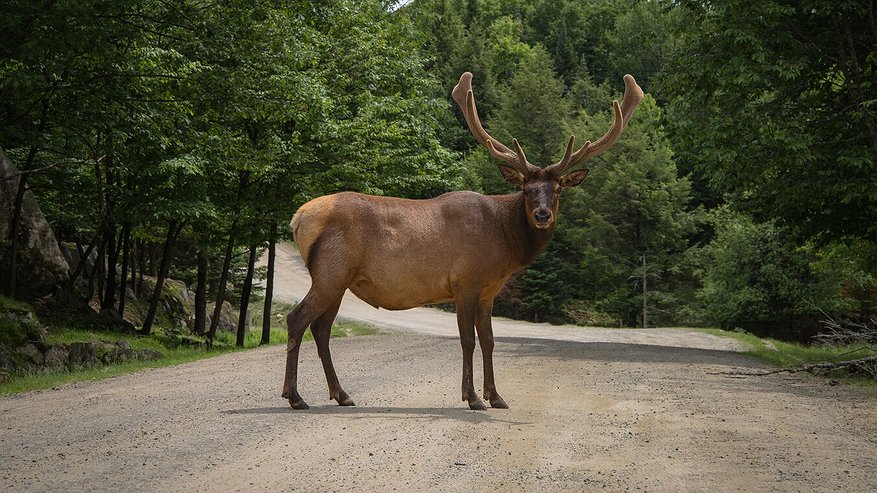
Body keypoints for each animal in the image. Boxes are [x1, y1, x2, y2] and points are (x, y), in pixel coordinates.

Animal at [282, 71, 644, 410]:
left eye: (557, 190)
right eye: (526, 189)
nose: (542, 215)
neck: (504, 244)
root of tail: (298, 217)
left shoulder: (489, 292)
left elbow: (489, 340)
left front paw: (496, 396)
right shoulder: (464, 281)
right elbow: (467, 340)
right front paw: (472, 397)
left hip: (339, 279)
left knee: (322, 329)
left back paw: (341, 394)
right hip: (331, 271)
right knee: (297, 319)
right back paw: (295, 396)